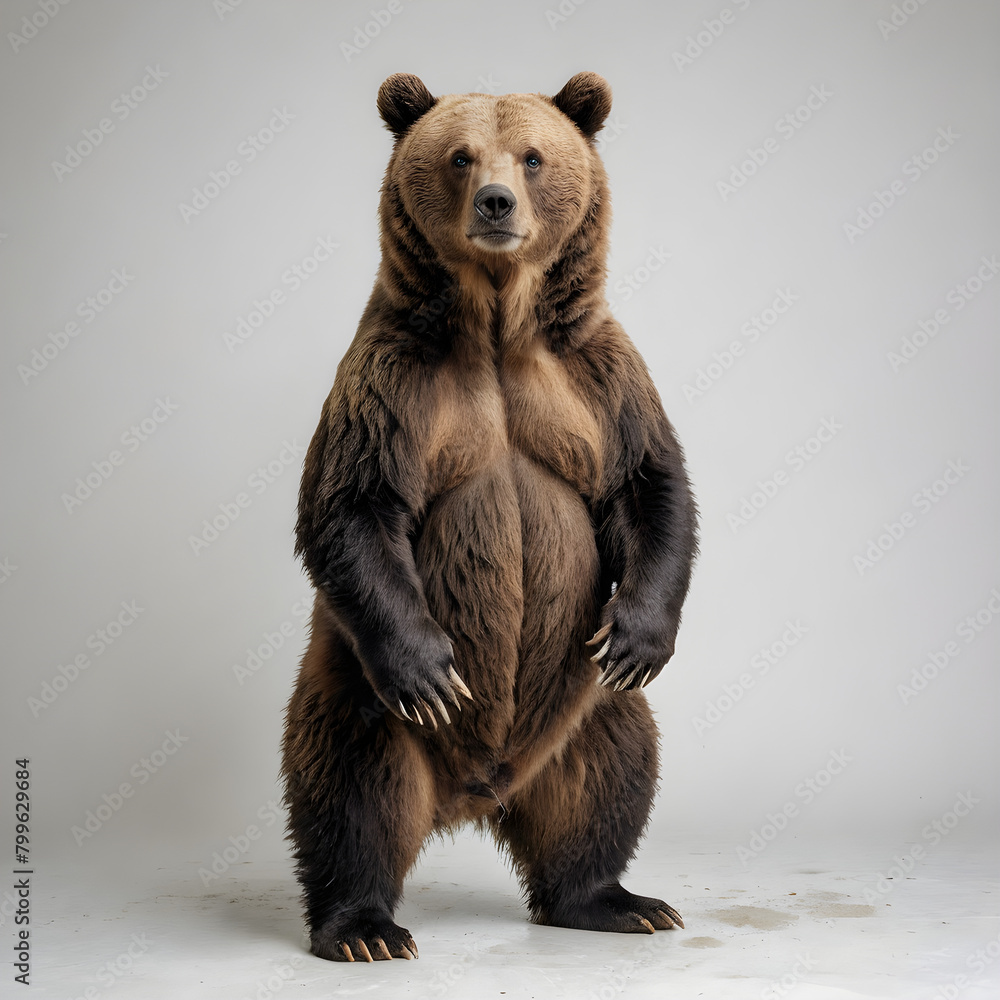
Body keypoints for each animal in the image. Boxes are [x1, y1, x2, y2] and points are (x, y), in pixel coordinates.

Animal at [281, 71, 697, 963]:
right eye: (460, 155)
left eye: (533, 156)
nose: (497, 202)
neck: (502, 326)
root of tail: (474, 796)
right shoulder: (392, 379)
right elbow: (352, 503)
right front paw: (430, 670)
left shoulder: (599, 375)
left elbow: (649, 486)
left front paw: (640, 638)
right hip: (358, 687)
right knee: (350, 785)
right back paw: (361, 926)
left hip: (580, 706)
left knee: (612, 772)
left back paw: (615, 900)